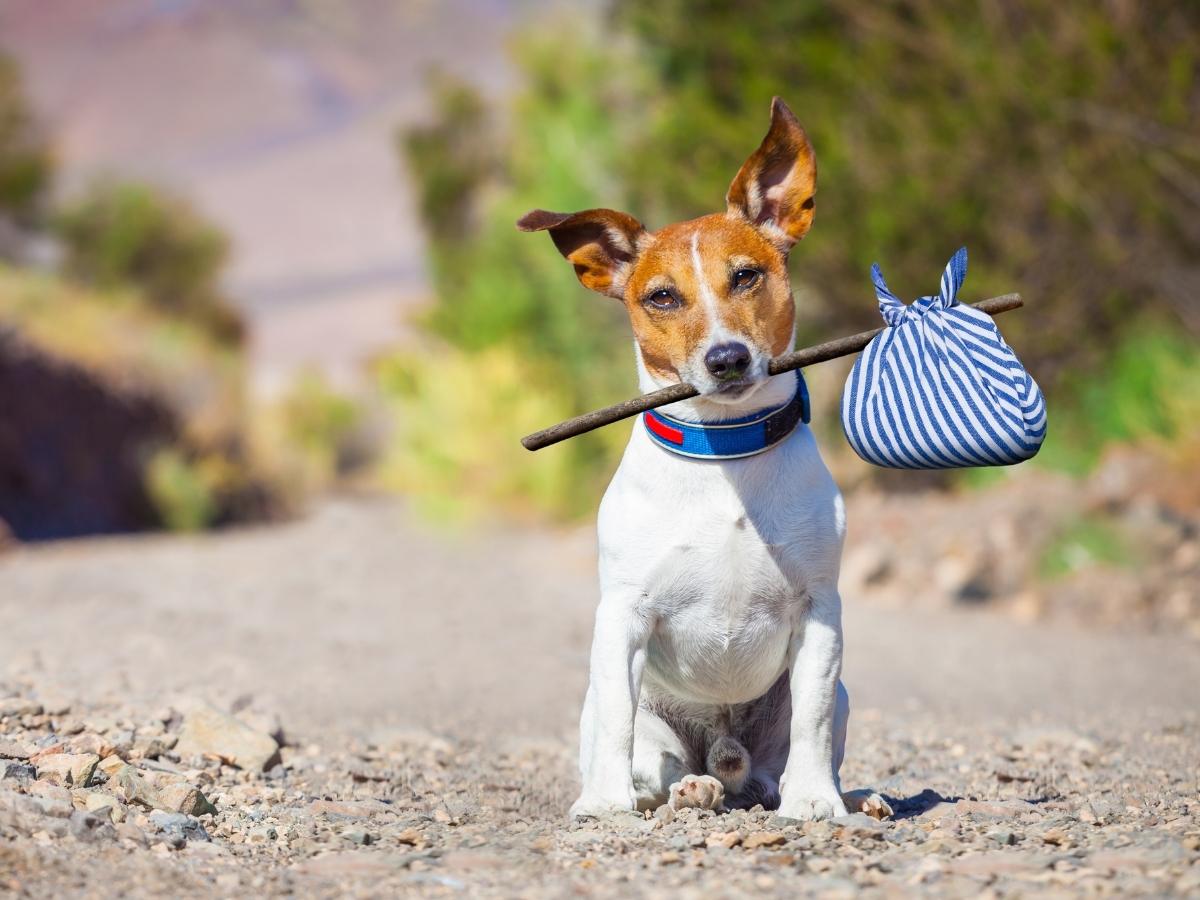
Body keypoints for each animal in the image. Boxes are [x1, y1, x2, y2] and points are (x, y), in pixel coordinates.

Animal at [516, 98, 883, 825]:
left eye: (745, 275)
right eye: (661, 296)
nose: (727, 359)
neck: (726, 453)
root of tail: (724, 755)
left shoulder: (819, 613)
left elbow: (811, 721)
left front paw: (816, 801)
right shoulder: (622, 617)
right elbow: (618, 722)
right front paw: (603, 804)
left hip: (834, 698)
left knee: (779, 763)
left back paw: (845, 793)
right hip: (629, 716)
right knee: (652, 763)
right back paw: (685, 789)